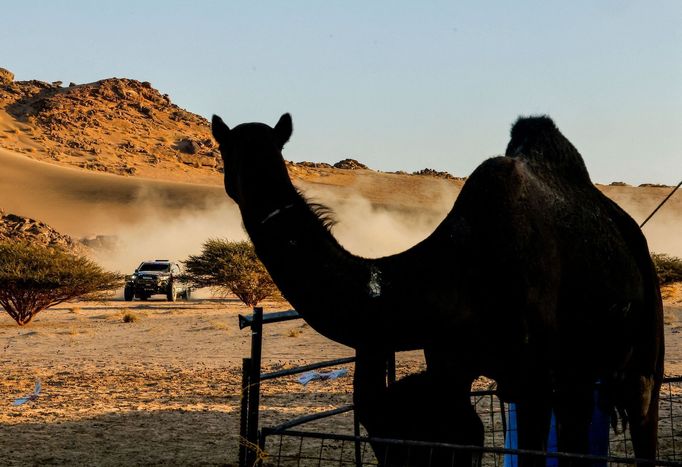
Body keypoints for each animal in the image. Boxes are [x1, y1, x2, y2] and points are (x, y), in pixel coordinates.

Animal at [211, 114, 660, 467]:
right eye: (230, 149)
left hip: (639, 354)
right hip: (578, 367)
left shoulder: (532, 381)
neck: (456, 269)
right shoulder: (449, 366)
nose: (249, 184)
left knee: (640, 416)